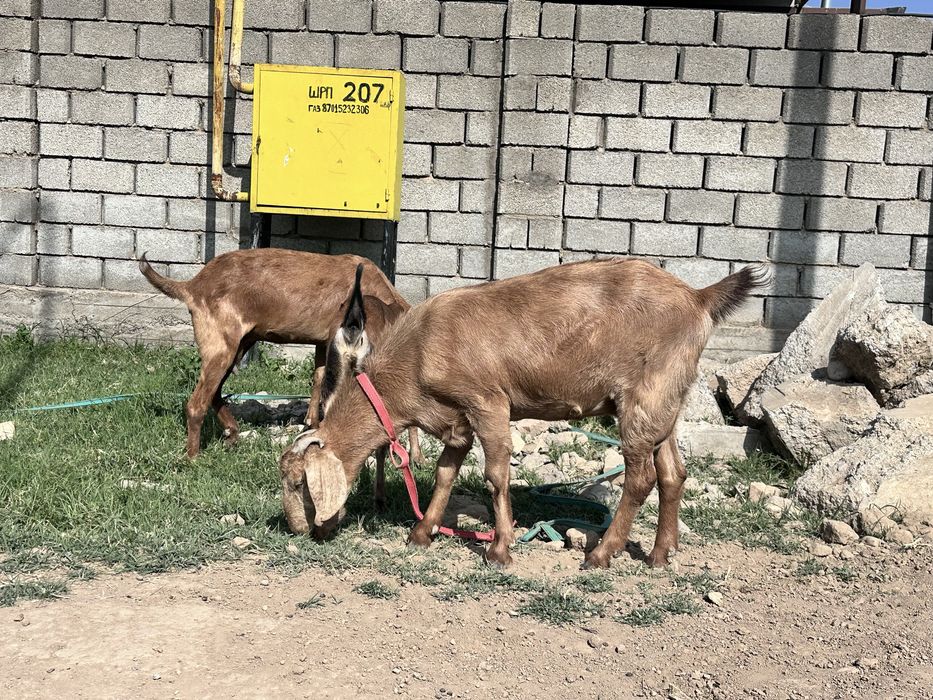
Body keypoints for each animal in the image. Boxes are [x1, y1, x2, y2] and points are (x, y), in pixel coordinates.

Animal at [139, 248, 422, 472]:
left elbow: (319, 378)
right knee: (197, 403)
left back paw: (231, 432)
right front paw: (416, 454)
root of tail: (194, 285)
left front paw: (312, 423)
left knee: (214, 393)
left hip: (238, 346)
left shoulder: (324, 344)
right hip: (222, 347)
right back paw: (193, 456)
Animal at [279, 258, 766, 569]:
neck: (417, 353)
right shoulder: (457, 419)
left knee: (641, 477)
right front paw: (422, 532)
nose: (302, 533)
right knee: (671, 473)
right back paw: (661, 554)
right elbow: (445, 472)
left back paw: (601, 554)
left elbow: (496, 474)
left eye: (299, 482)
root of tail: (699, 298)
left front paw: (500, 549)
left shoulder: (487, 401)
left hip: (642, 398)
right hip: (666, 400)